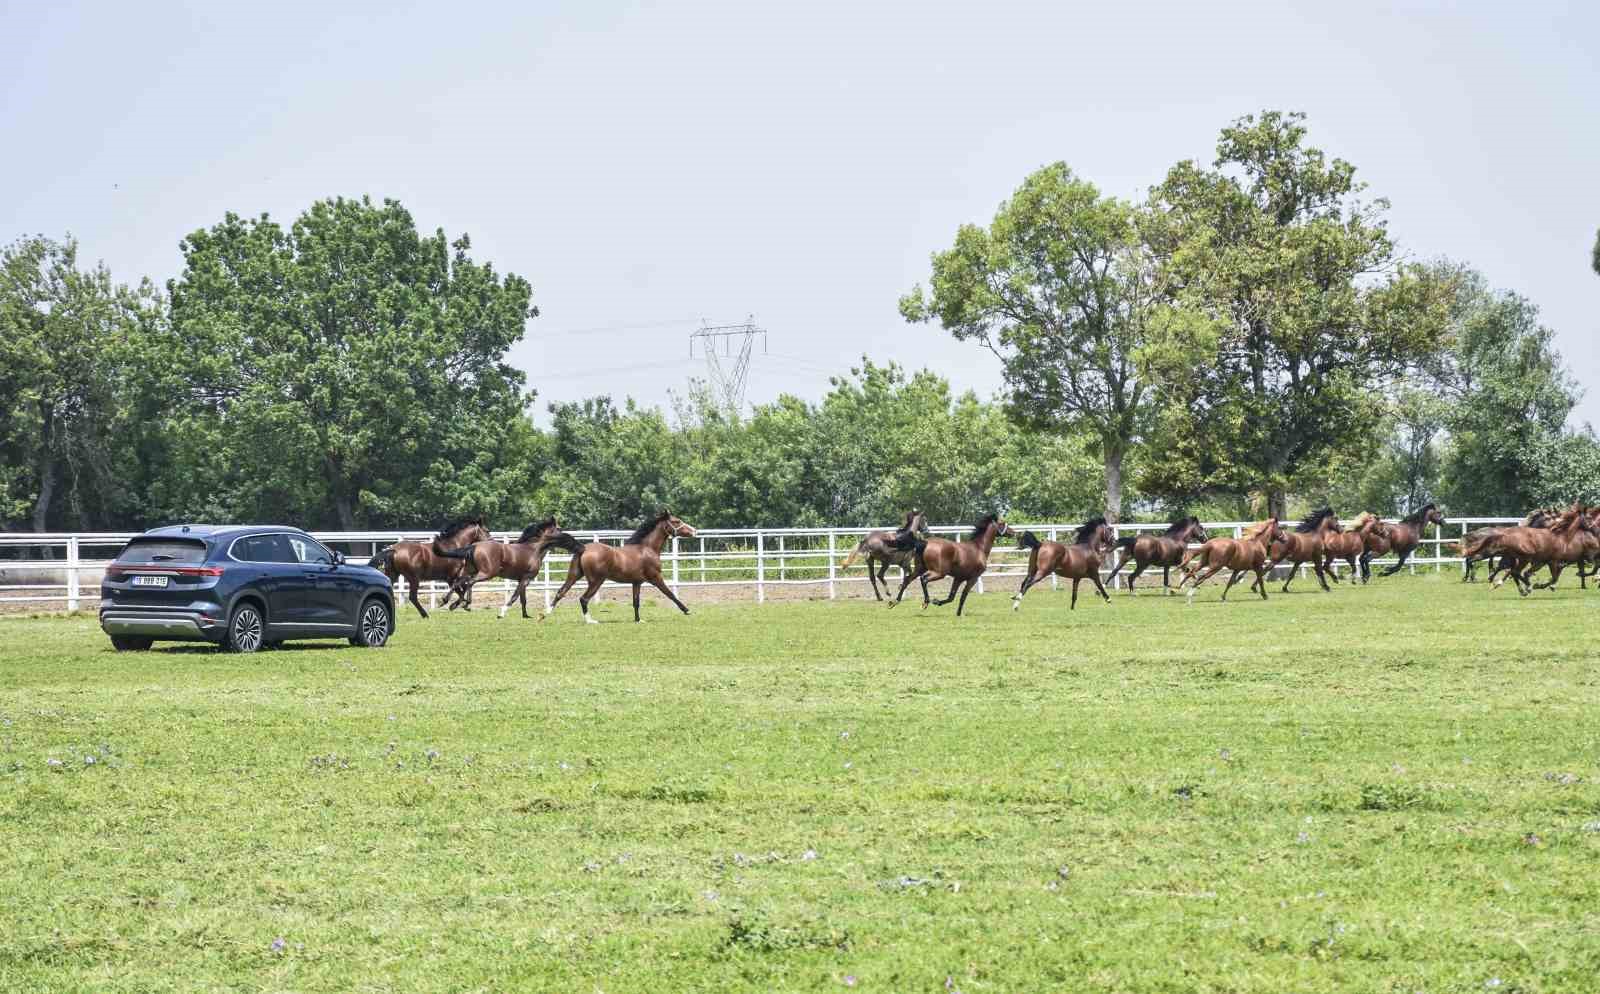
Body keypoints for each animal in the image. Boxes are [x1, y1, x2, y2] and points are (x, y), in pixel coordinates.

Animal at [544, 512, 694, 621]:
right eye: (676, 521)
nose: (694, 531)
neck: (646, 549)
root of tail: (584, 548)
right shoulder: (656, 578)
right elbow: (670, 594)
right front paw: (687, 610)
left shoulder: (636, 582)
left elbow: (636, 601)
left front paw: (638, 620)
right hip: (596, 581)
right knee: (583, 599)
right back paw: (590, 621)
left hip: (574, 575)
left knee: (561, 592)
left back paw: (546, 614)